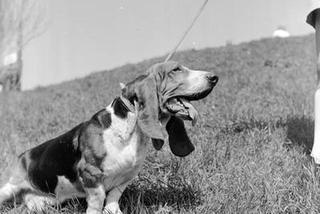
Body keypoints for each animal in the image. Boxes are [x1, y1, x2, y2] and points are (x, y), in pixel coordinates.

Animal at [0, 61, 218, 213]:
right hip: (9, 187)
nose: (214, 77)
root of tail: (20, 157)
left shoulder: (127, 176)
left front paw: (113, 211)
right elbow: (97, 200)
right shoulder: (91, 173)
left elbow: (113, 196)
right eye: (176, 70)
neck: (129, 129)